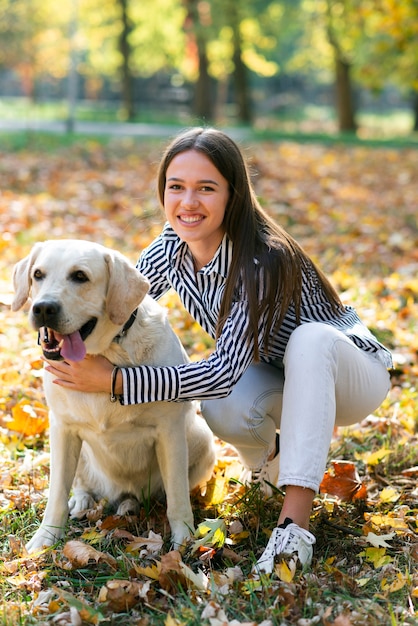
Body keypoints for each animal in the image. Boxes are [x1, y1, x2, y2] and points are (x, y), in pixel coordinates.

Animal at [12, 239, 216, 552]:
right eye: (37, 274)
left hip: (203, 440)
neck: (105, 353)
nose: (43, 308)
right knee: (80, 484)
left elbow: (177, 496)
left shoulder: (170, 431)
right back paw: (84, 501)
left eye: (80, 276)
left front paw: (184, 540)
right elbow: (57, 492)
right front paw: (46, 538)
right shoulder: (62, 427)